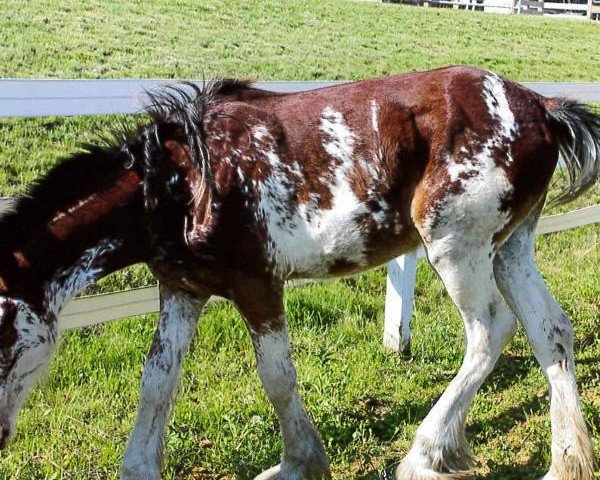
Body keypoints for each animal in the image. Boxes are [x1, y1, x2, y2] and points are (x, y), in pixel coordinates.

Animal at [1, 64, 600, 480]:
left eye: (4, 337)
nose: (1, 436)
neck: (183, 184)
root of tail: (543, 107)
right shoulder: (181, 290)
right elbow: (157, 383)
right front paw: (140, 467)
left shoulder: (257, 285)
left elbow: (276, 378)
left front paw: (299, 463)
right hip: (510, 249)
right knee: (550, 331)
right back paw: (566, 461)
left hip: (457, 247)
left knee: (490, 331)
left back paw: (424, 455)